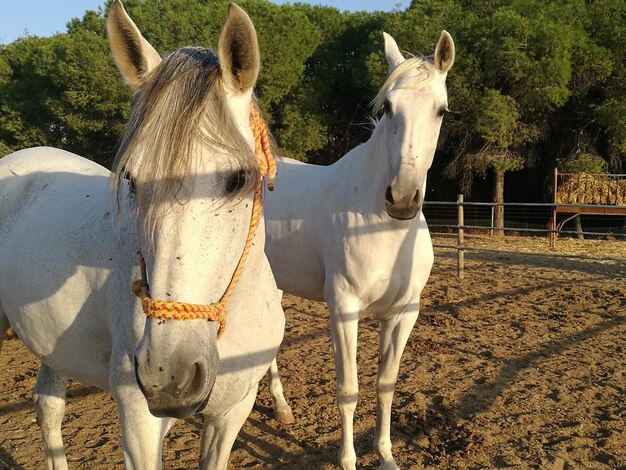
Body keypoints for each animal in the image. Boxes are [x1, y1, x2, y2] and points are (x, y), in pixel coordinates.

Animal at [0, 1, 280, 468]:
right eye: (132, 180)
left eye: (239, 178)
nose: (168, 375)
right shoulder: (140, 424)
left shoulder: (233, 411)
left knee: (48, 407)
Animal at [264, 30, 454, 470]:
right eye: (387, 108)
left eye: (441, 110)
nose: (402, 200)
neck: (380, 227)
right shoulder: (344, 309)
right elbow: (348, 389)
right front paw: (348, 459)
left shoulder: (403, 313)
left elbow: (385, 384)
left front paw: (385, 456)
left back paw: (282, 408)